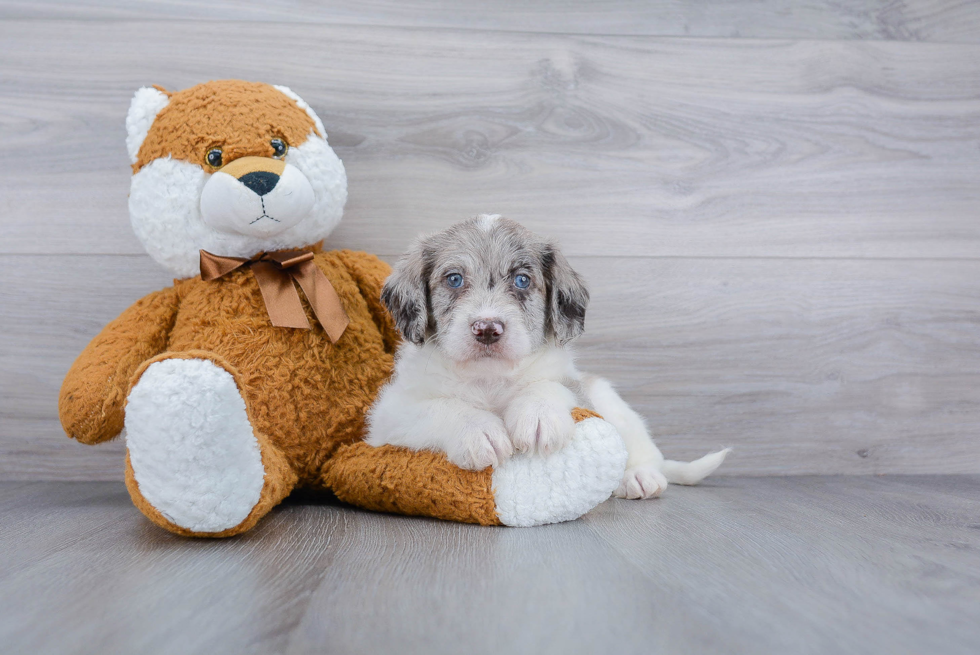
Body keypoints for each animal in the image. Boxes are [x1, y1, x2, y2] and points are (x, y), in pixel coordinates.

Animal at [368, 214, 728, 498]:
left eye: (522, 280)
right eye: (454, 279)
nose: (487, 329)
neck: (489, 378)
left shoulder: (572, 385)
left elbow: (548, 385)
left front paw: (538, 415)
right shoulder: (388, 415)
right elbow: (439, 408)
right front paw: (478, 430)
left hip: (608, 399)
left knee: (644, 450)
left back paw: (638, 476)